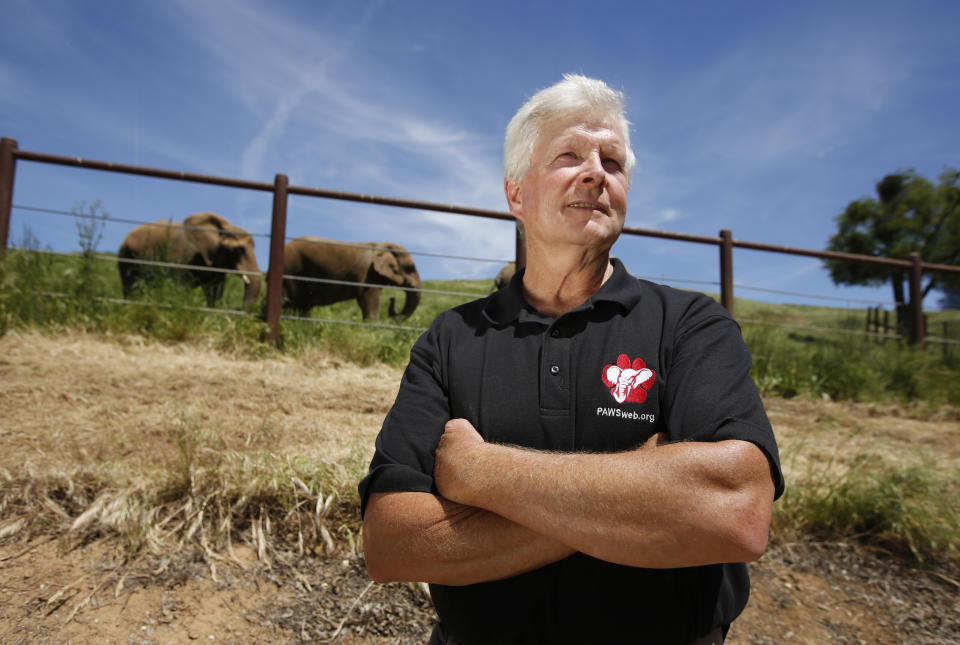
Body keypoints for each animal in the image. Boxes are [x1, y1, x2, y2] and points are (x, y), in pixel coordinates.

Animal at [119, 211, 262, 306]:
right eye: (238, 250)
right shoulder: (183, 255)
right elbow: (181, 284)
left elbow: (214, 290)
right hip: (127, 256)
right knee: (131, 287)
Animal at [284, 236, 422, 320]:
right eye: (410, 268)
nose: (392, 299)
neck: (381, 246)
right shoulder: (369, 275)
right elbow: (370, 301)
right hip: (292, 270)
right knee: (291, 304)